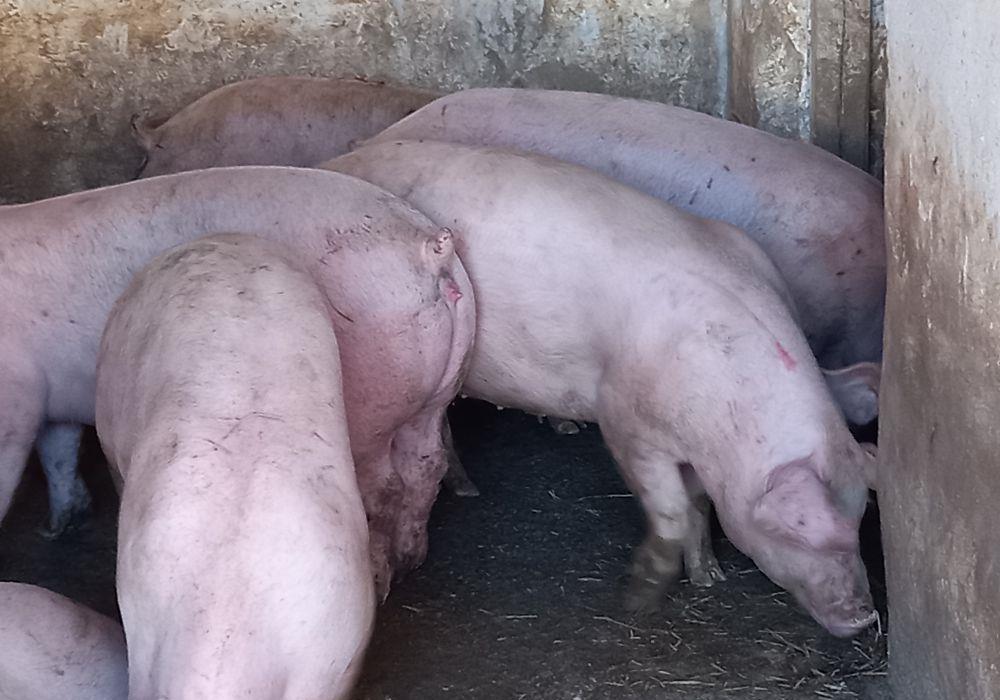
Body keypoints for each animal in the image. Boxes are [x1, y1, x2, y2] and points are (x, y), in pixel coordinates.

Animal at [0, 166, 475, 593]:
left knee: (386, 488)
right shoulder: (51, 401)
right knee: (425, 464)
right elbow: (58, 452)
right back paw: (412, 558)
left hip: (372, 402)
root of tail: (429, 247)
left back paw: (381, 581)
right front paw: (58, 525)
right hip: (434, 391)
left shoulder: (17, 397)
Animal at [322, 141, 879, 637]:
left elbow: (699, 505)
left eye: (859, 521)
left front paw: (709, 578)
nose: (865, 616)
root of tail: (340, 159)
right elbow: (671, 510)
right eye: (801, 528)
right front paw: (640, 598)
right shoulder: (626, 422)